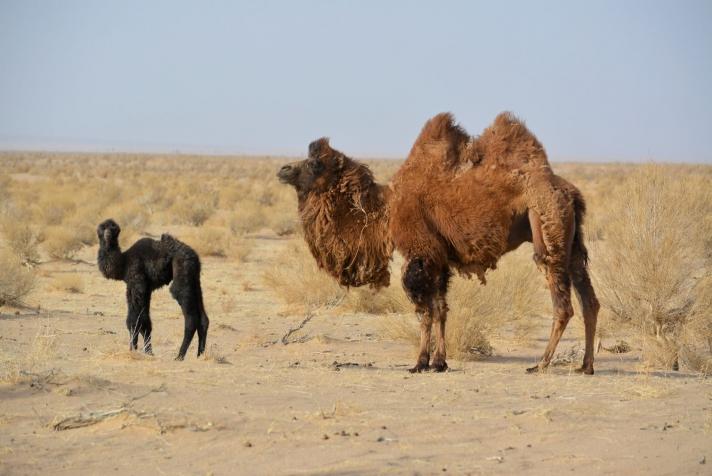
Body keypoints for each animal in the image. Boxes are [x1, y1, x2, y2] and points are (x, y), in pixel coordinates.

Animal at [97, 218, 209, 358]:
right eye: (101, 228)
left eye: (114, 229)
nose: (107, 234)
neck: (124, 263)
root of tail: (194, 255)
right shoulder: (142, 289)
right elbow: (145, 322)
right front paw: (148, 352)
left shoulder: (137, 284)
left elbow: (133, 321)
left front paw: (133, 350)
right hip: (194, 278)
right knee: (203, 319)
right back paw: (200, 355)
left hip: (182, 269)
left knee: (189, 314)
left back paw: (179, 356)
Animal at [278, 112, 600, 376]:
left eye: (314, 164)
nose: (283, 170)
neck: (386, 210)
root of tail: (570, 192)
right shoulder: (439, 258)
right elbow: (442, 308)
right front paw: (439, 362)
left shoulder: (420, 253)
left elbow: (425, 311)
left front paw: (420, 363)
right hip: (572, 240)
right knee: (589, 300)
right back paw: (586, 366)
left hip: (547, 222)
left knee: (562, 302)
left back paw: (541, 364)